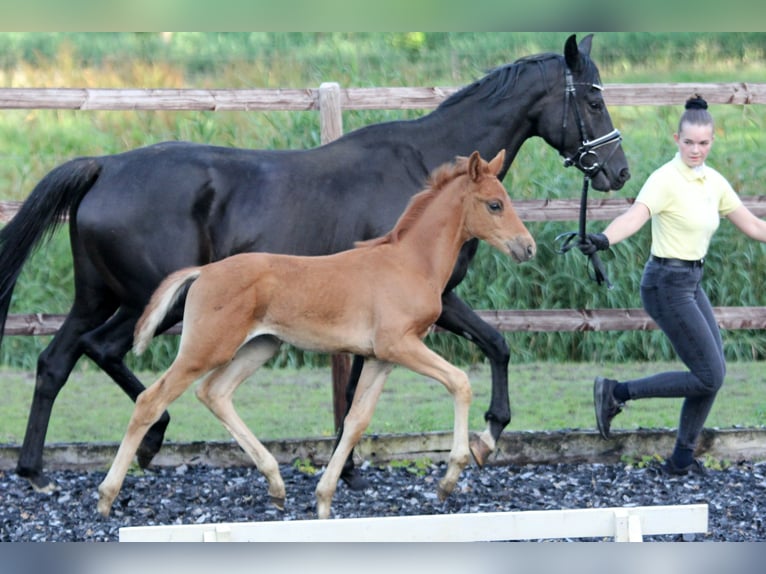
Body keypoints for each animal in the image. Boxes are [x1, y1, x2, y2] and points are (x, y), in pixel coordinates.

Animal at [97, 150, 536, 520]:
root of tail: (203, 272)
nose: (528, 247)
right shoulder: (400, 344)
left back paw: (276, 485)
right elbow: (460, 382)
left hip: (260, 345)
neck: (410, 263)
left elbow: (356, 419)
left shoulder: (381, 357)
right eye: (494, 204)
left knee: (214, 393)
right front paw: (453, 474)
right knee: (151, 401)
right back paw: (106, 497)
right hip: (205, 349)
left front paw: (324, 499)